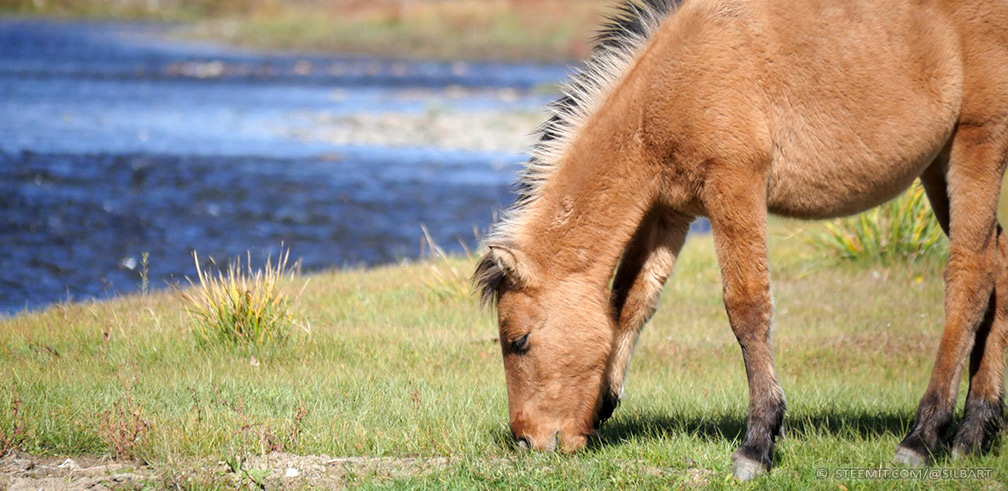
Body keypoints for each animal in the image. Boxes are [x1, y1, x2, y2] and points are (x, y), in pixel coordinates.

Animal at [471, 0, 1008, 479]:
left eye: (518, 341)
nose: (526, 440)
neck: (674, 80)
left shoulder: (735, 185)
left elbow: (746, 307)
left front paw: (758, 443)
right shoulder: (670, 212)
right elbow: (631, 302)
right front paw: (604, 402)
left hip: (976, 146)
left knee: (969, 278)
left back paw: (924, 434)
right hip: (938, 170)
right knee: (995, 264)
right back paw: (975, 430)